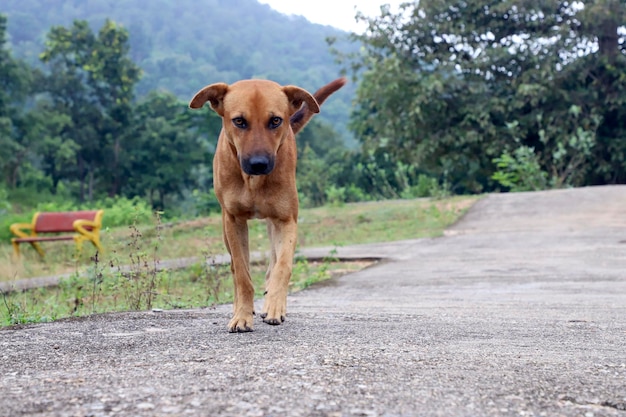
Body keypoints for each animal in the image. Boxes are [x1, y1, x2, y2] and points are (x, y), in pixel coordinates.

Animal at [190, 78, 346, 332]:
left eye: (275, 120)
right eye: (239, 121)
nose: (258, 164)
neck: (253, 182)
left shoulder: (286, 220)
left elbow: (282, 267)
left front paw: (274, 306)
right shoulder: (233, 221)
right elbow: (242, 274)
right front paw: (242, 315)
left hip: (273, 223)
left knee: (273, 265)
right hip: (226, 228)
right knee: (235, 267)